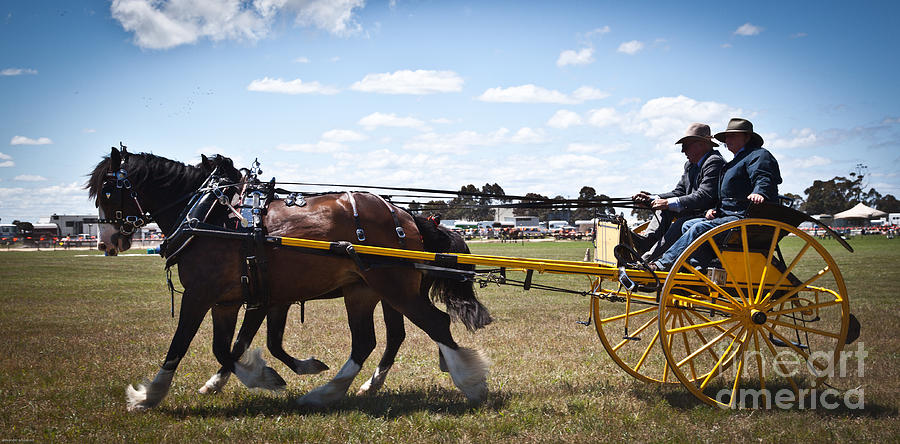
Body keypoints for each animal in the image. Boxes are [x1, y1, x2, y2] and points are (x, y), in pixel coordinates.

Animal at [88, 147, 492, 412]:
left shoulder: (200, 295)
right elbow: (229, 346)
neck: (211, 215)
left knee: (434, 324)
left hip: (391, 286)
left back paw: (469, 382)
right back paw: (331, 392)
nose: (106, 242)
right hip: (364, 291)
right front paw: (258, 376)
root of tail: (407, 216)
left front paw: (147, 396)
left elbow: (181, 345)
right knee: (371, 341)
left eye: (106, 190)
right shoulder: (232, 300)